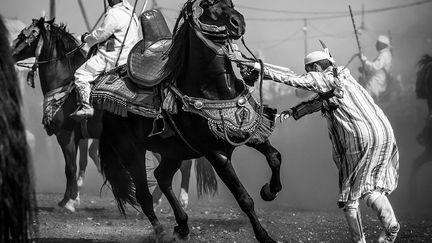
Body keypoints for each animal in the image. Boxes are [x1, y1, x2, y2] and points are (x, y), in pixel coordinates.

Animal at [100, 0, 284, 242]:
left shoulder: (249, 132)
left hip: (174, 151)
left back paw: (183, 226)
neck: (213, 90)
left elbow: (274, 157)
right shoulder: (216, 153)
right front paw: (264, 236)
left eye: (231, 3)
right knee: (144, 195)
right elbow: (244, 198)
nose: (238, 23)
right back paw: (161, 232)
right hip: (131, 151)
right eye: (206, 4)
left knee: (162, 177)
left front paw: (269, 191)